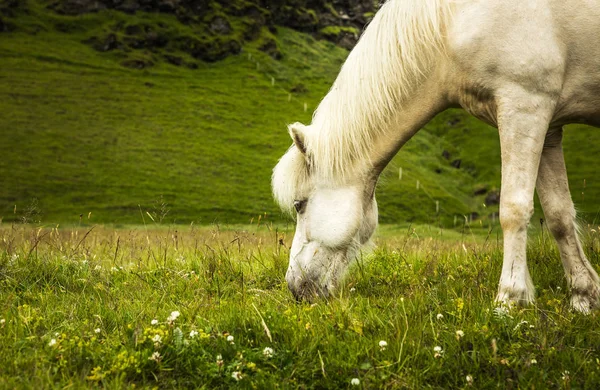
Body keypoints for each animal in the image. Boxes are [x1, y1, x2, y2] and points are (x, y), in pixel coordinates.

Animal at [274, 0, 600, 312]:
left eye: (299, 204)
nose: (295, 287)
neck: (452, 22)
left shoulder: (524, 106)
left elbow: (513, 209)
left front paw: (510, 299)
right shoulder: (547, 128)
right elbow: (559, 214)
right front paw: (584, 296)